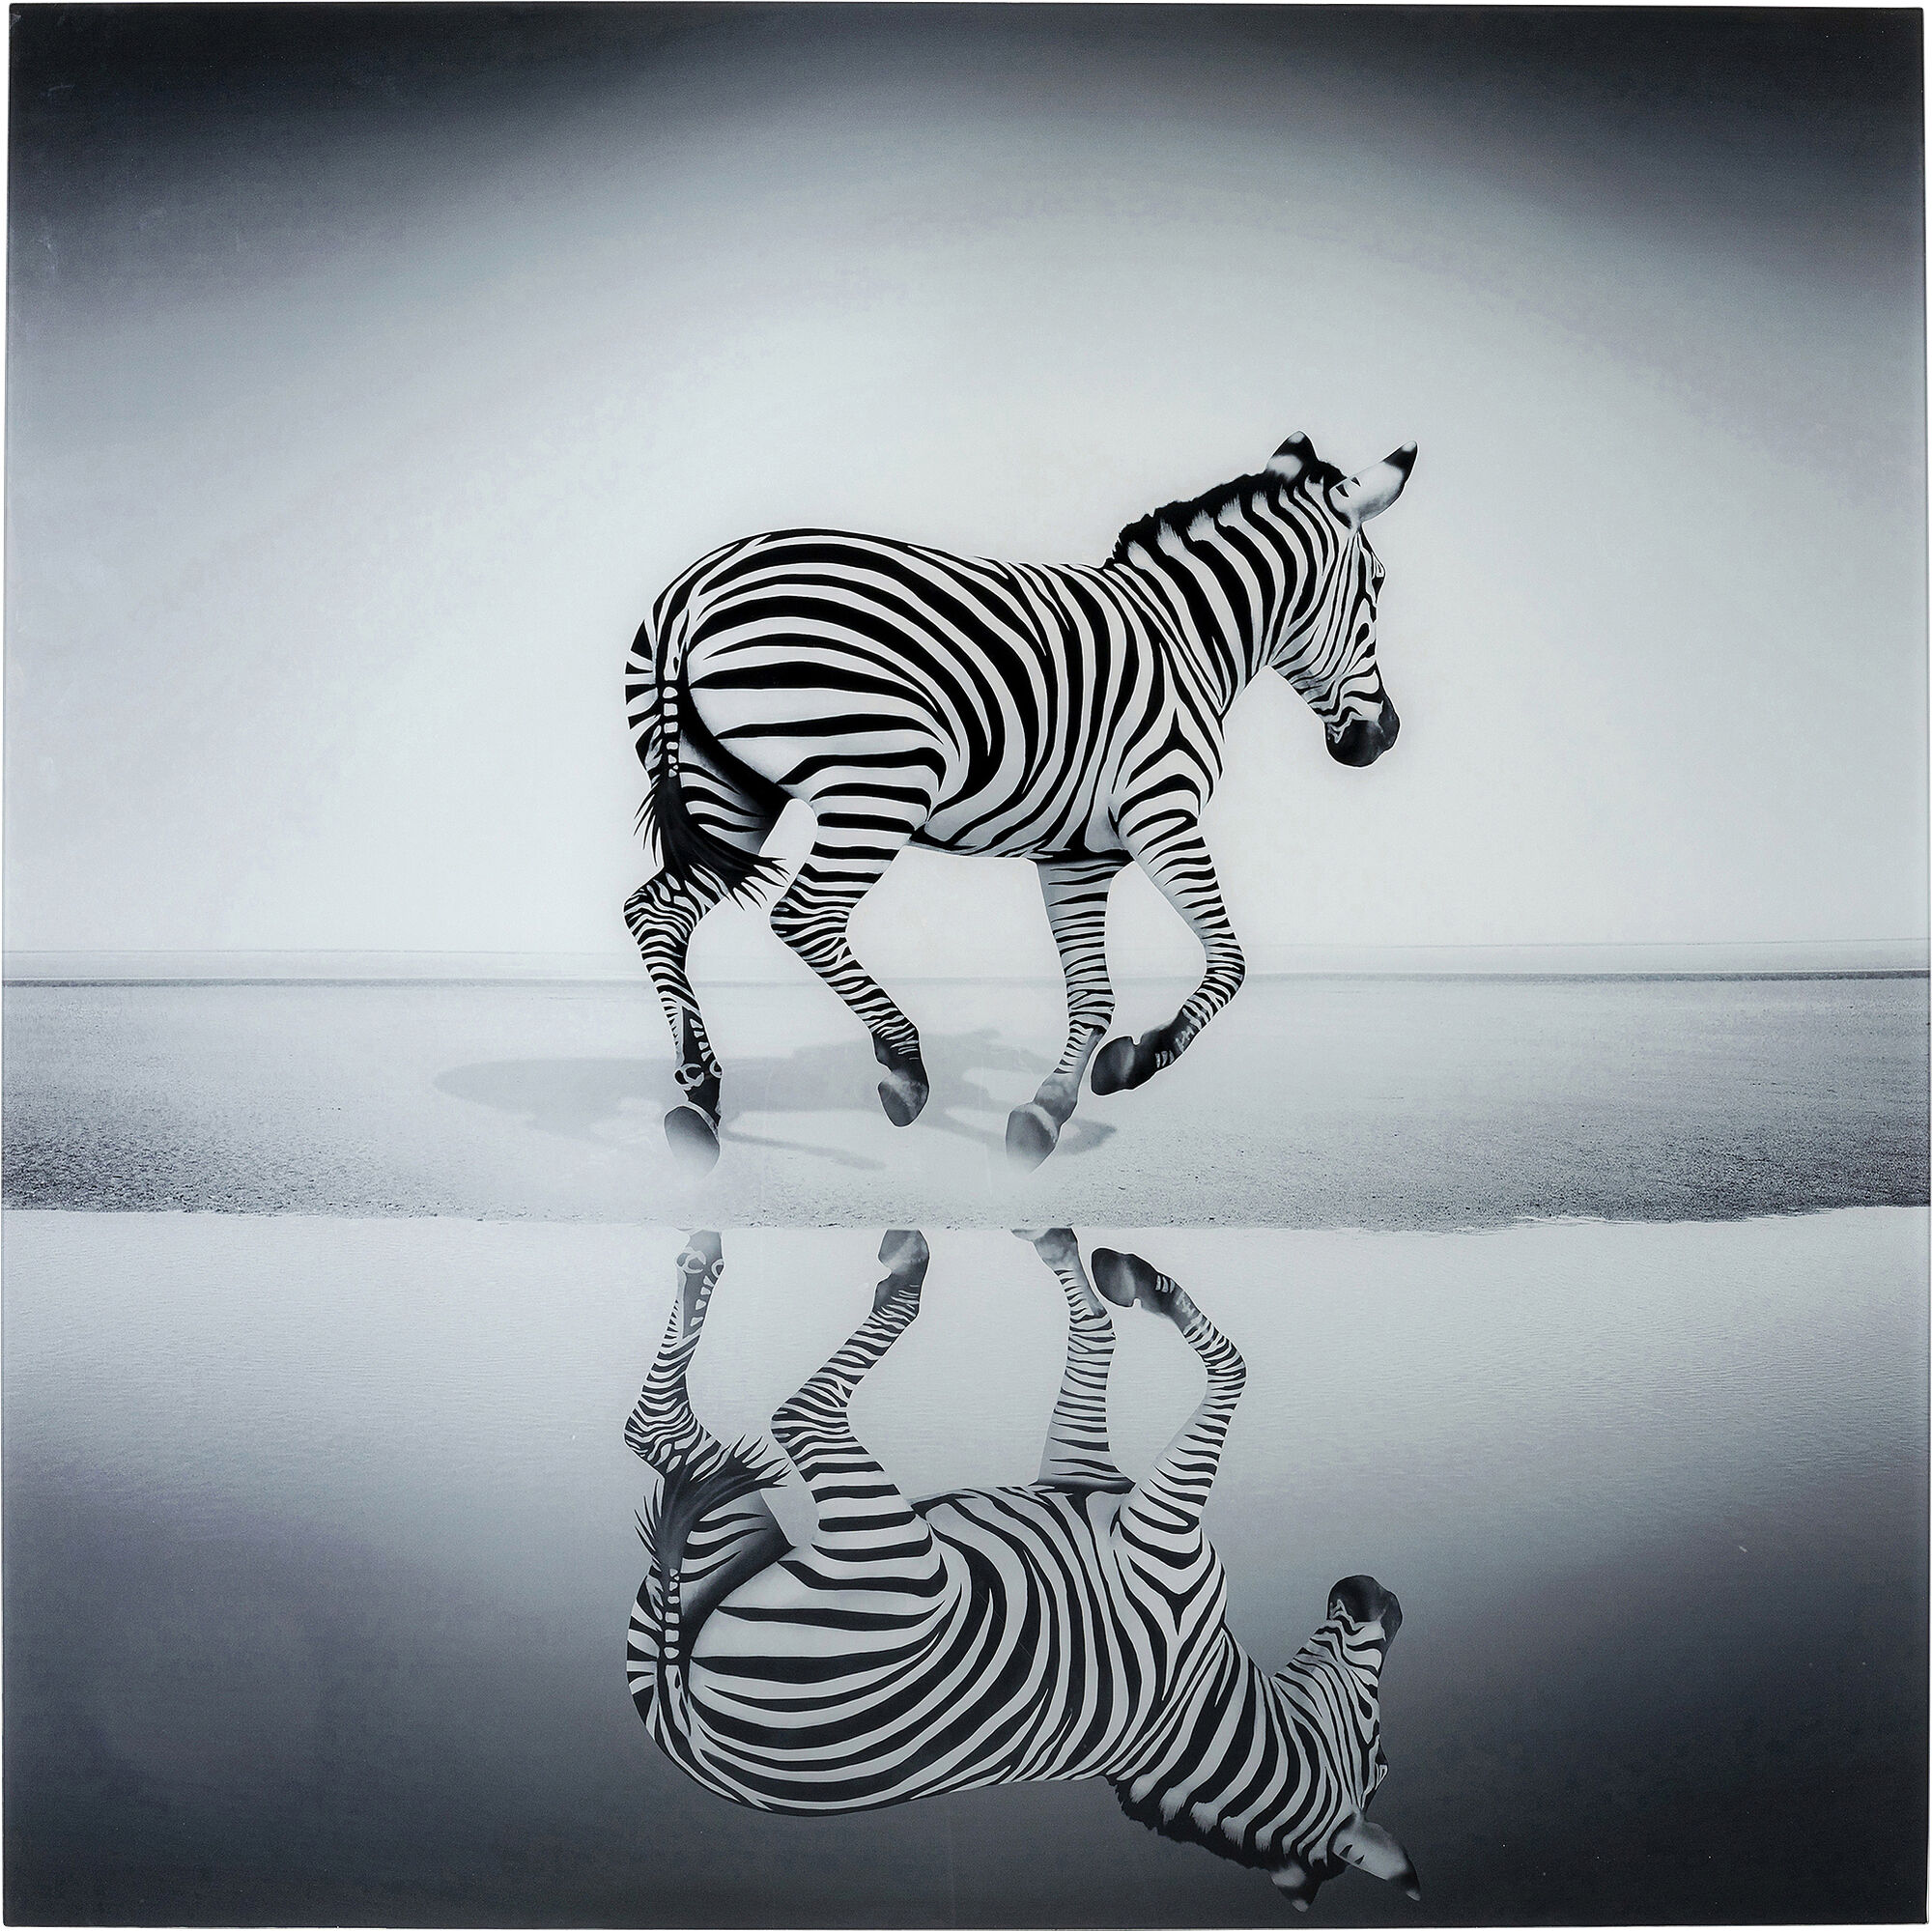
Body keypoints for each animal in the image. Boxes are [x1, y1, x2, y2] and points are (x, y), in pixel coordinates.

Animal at [623, 430, 1416, 1172]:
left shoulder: (1079, 857)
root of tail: (695, 588)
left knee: (656, 912)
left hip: (728, 791)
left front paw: (1049, 1109)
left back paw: (699, 1091)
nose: (1383, 737)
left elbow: (1093, 994)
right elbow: (1229, 961)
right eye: (1377, 588)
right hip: (881, 781)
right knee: (804, 918)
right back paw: (903, 1065)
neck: (1185, 635)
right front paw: (1137, 1060)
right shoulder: (1162, 810)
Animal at [624, 1227, 1418, 1912]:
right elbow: (1101, 1339)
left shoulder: (1162, 1534)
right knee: (656, 1428)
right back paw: (706, 1268)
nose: (1385, 1595)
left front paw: (1145, 1286)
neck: (1196, 1704)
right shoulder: (1091, 1476)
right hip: (733, 1529)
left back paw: (888, 1273)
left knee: (778, 1415)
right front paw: (1081, 1258)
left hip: (901, 1565)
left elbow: (1233, 1367)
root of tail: (690, 1736)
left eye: (1377, 1755)